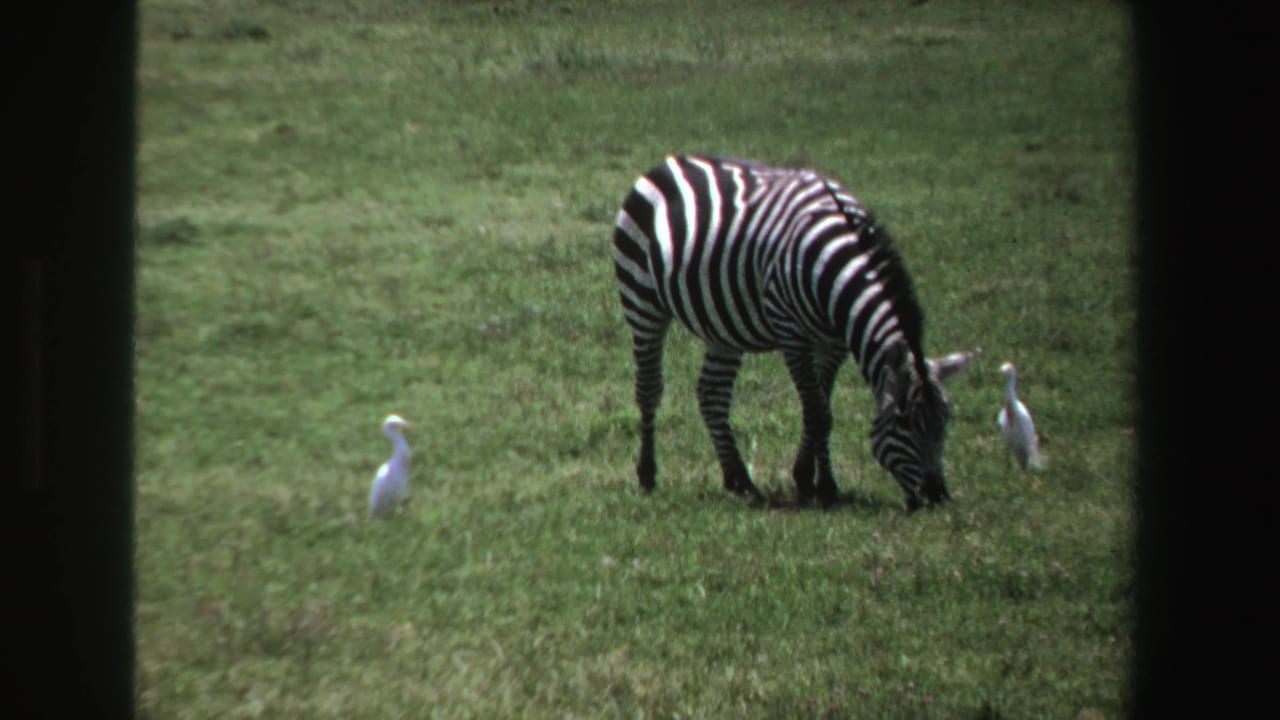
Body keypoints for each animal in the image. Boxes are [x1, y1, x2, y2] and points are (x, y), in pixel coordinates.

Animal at [611, 154, 960, 511]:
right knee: (649, 387)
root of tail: (671, 161)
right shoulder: (793, 336)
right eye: (904, 421)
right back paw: (648, 474)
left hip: (722, 325)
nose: (937, 496)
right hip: (642, 299)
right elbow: (818, 412)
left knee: (712, 394)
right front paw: (822, 485)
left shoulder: (833, 344)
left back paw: (739, 479)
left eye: (946, 419)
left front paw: (810, 478)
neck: (834, 269)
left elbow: (821, 407)